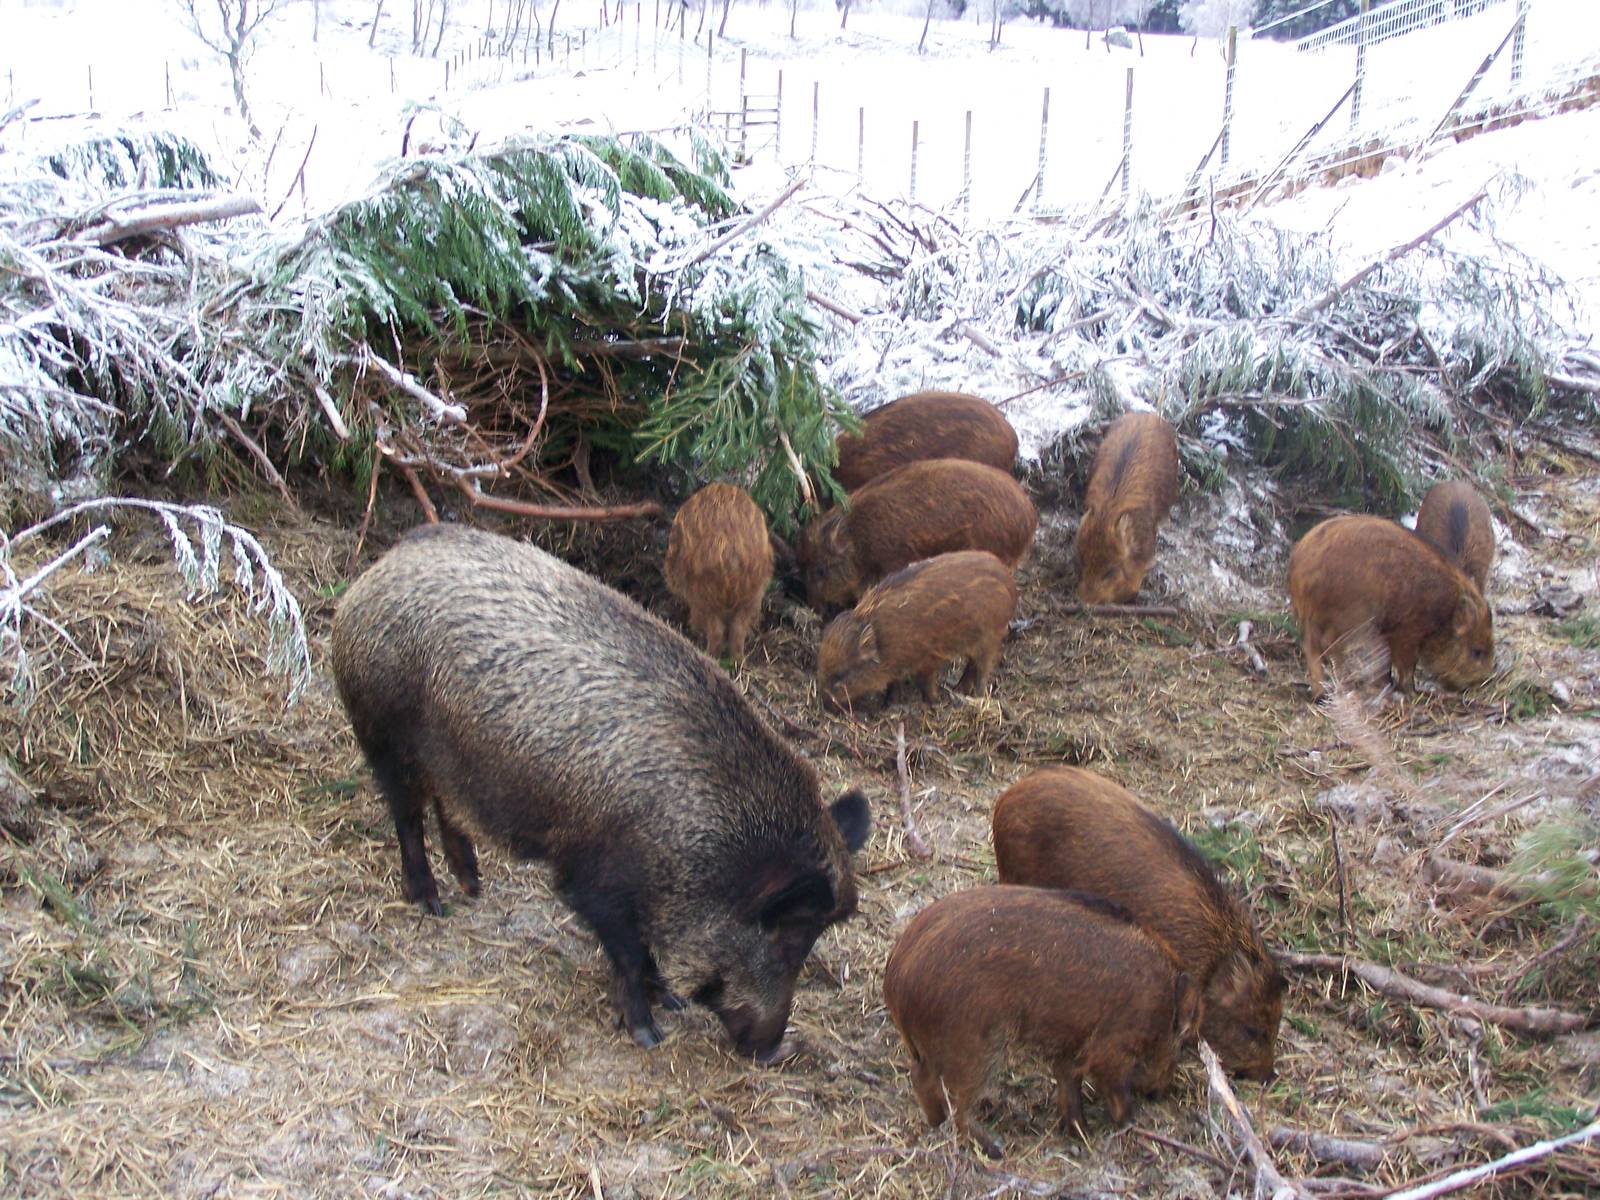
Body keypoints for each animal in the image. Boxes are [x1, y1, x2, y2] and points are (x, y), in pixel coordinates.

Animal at [331, 524, 871, 1060]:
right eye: (787, 936)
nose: (772, 1050)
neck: (710, 845)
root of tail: (388, 561)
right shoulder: (595, 879)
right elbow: (629, 954)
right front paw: (647, 1034)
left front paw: (670, 999)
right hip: (381, 728)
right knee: (406, 813)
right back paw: (431, 903)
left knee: (447, 804)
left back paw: (473, 886)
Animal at [663, 482, 773, 661]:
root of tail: (731, 557)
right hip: (753, 595)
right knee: (738, 631)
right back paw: (736, 661)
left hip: (704, 596)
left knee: (716, 632)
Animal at [816, 551, 1018, 711]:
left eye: (841, 674)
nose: (825, 705)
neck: (883, 637)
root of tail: (1010, 582)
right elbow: (893, 683)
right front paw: (887, 705)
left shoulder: (929, 657)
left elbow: (925, 682)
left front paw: (935, 703)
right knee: (971, 665)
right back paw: (958, 690)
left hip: (990, 637)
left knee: (983, 669)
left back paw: (976, 697)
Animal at [882, 884, 1200, 1157]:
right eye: (1183, 1045)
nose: (1158, 1094)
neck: (1163, 1007)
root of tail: (896, 976)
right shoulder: (1113, 1046)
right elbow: (1114, 1088)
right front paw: (1128, 1125)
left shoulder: (1070, 1045)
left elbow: (1068, 1082)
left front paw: (1080, 1132)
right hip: (974, 1047)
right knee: (957, 1106)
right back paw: (994, 1150)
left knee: (921, 1078)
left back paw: (939, 1124)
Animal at [1287, 514, 1494, 695]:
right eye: (1477, 652)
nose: (1480, 683)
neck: (1444, 611)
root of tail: (1300, 567)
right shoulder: (1407, 632)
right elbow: (1406, 663)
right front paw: (1410, 691)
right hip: (1349, 618)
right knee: (1328, 645)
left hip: (1312, 618)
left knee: (1311, 646)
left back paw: (1321, 693)